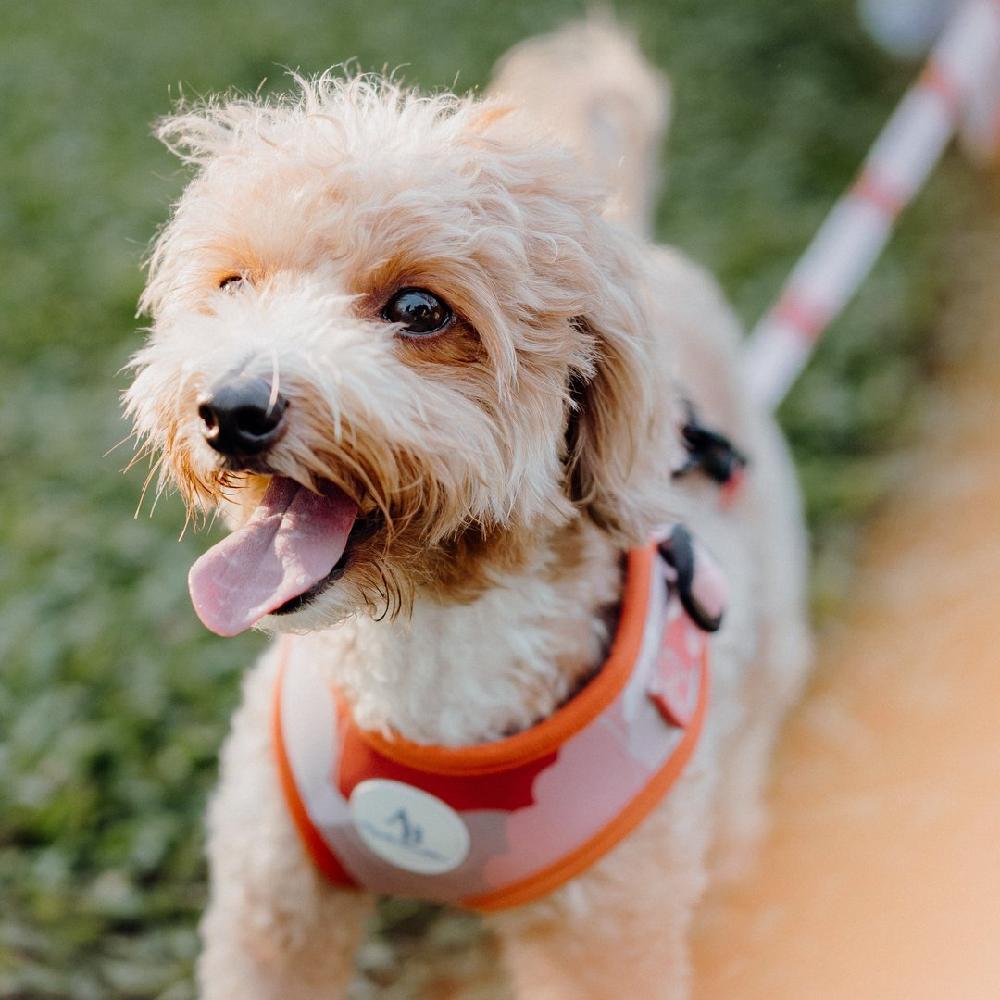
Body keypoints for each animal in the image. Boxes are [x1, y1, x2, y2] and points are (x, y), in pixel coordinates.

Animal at [125, 19, 810, 1000]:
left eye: (419, 308)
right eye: (234, 285)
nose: (230, 410)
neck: (430, 647)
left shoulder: (607, 938)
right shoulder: (273, 901)